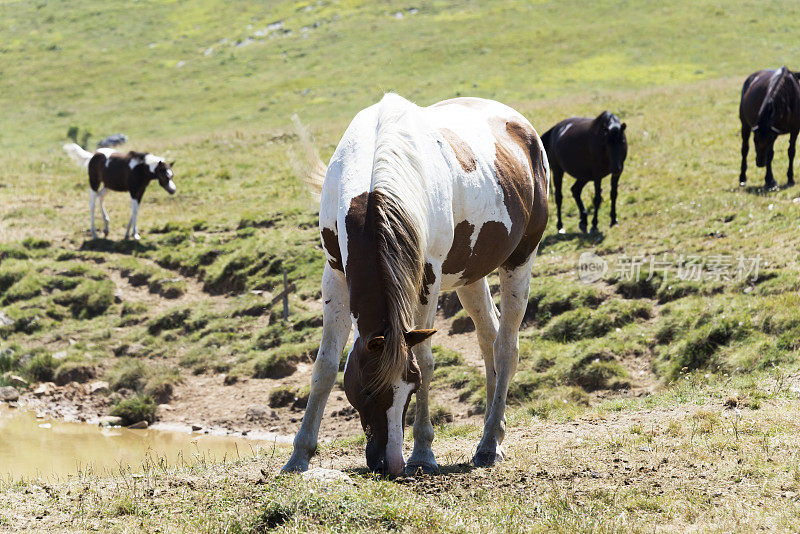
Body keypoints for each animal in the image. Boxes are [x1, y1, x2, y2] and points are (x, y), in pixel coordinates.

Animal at [282, 93, 552, 478]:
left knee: (505, 347)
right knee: (489, 339)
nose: (390, 463)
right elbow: (324, 366)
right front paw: (299, 455)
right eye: (366, 390)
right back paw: (492, 431)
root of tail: (522, 127)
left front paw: (423, 452)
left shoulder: (429, 276)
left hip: (520, 261)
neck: (374, 178)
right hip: (470, 277)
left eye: (412, 385)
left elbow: (425, 358)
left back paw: (489, 445)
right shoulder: (335, 274)